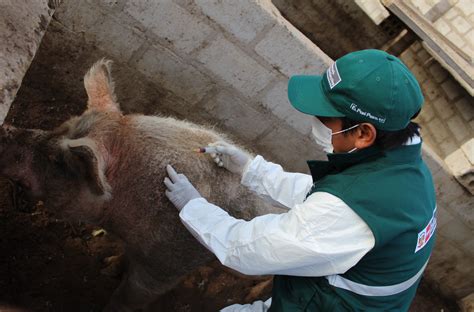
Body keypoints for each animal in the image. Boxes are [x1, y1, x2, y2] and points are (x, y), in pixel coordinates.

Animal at [0, 59, 286, 310]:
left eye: (57, 160)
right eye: (60, 126)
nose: (5, 131)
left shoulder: (165, 266)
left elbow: (129, 297)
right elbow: (123, 260)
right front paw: (107, 267)